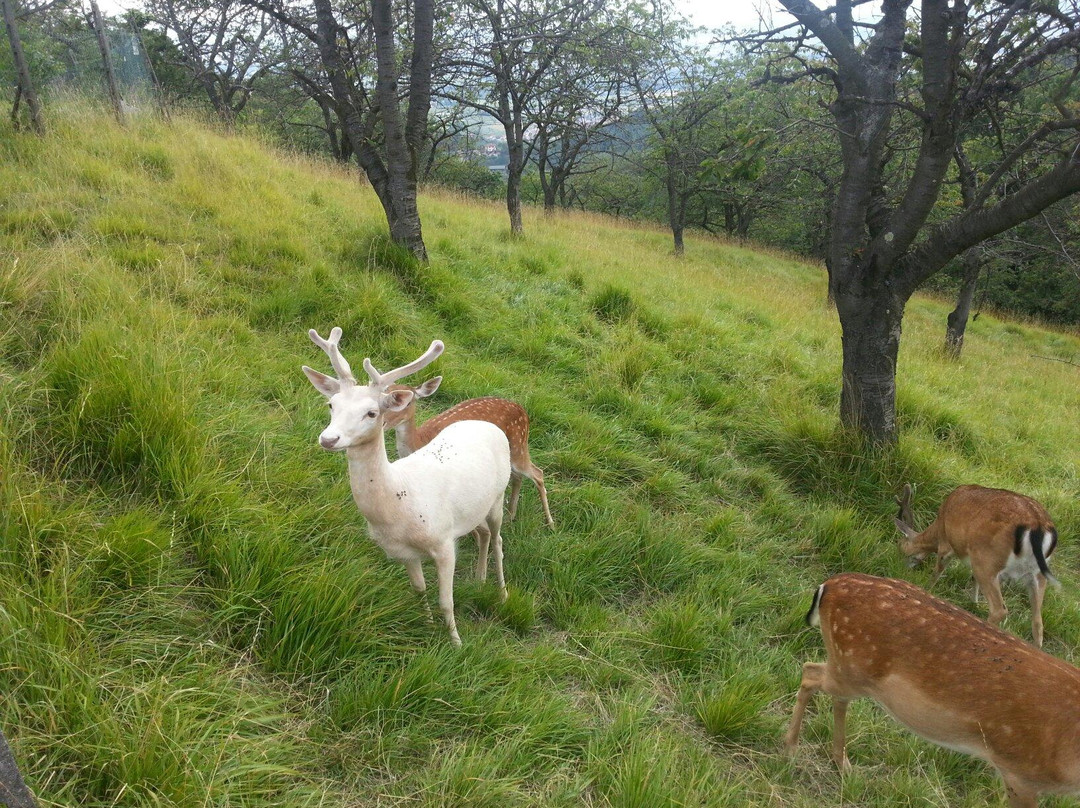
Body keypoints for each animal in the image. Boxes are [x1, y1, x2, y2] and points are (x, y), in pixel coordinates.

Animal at [300, 324, 509, 648]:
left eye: (372, 413)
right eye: (331, 404)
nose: (329, 438)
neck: (400, 505)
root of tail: (488, 425)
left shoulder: (444, 542)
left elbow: (446, 601)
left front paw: (456, 643)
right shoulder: (403, 553)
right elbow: (419, 589)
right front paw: (427, 625)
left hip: (499, 494)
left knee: (498, 538)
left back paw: (501, 592)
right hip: (475, 508)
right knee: (485, 534)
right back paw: (480, 578)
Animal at [380, 378, 552, 529]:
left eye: (407, 402)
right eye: (383, 395)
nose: (382, 423)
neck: (420, 441)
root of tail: (524, 412)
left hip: (518, 444)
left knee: (538, 473)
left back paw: (550, 523)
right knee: (518, 476)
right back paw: (511, 515)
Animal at [786, 570, 1080, 803]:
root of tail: (828, 585)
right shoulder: (1020, 773)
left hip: (848, 669)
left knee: (832, 692)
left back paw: (842, 762)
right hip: (849, 667)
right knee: (809, 672)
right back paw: (790, 748)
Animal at [889, 483, 1058, 648]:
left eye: (900, 547)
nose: (898, 566)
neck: (936, 529)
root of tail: (1038, 526)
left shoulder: (947, 542)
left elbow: (938, 571)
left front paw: (926, 589)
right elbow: (972, 578)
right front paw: (974, 603)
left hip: (987, 559)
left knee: (999, 610)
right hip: (1037, 574)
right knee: (1038, 623)